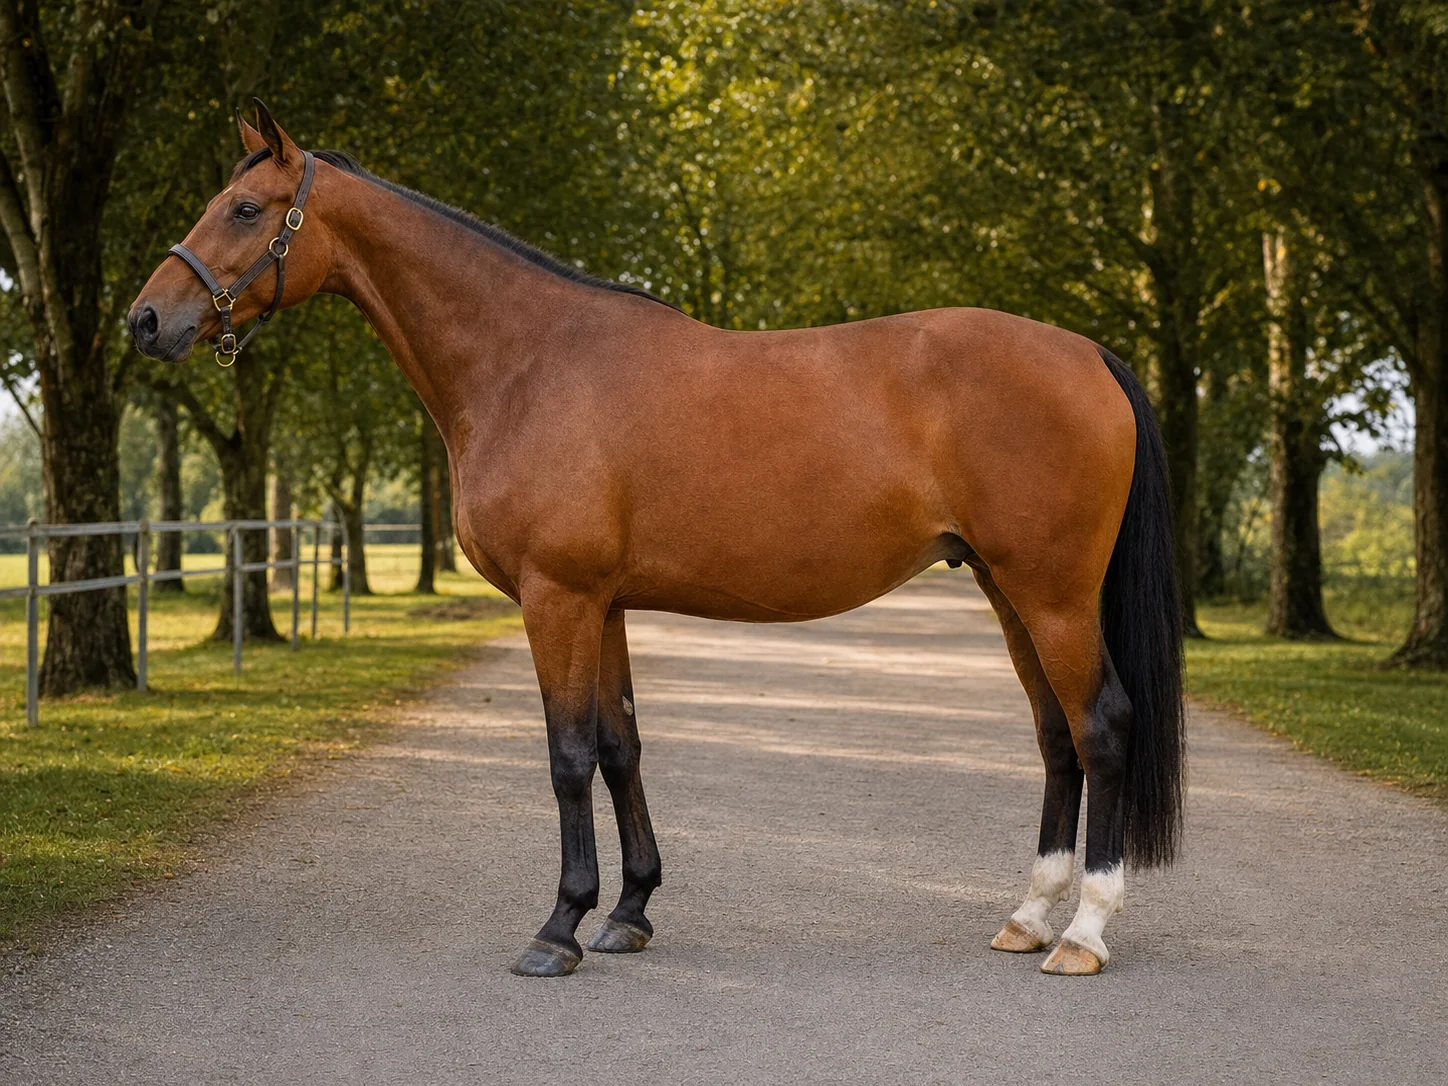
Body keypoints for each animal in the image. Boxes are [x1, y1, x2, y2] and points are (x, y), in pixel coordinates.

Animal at [130, 102, 1183, 978]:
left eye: (245, 208)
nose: (146, 320)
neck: (527, 362)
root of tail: (1088, 353)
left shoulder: (556, 598)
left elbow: (567, 756)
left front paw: (558, 928)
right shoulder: (603, 605)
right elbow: (620, 746)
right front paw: (628, 912)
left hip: (1051, 594)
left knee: (1101, 727)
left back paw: (1083, 934)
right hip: (1009, 590)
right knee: (1055, 737)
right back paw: (1028, 918)